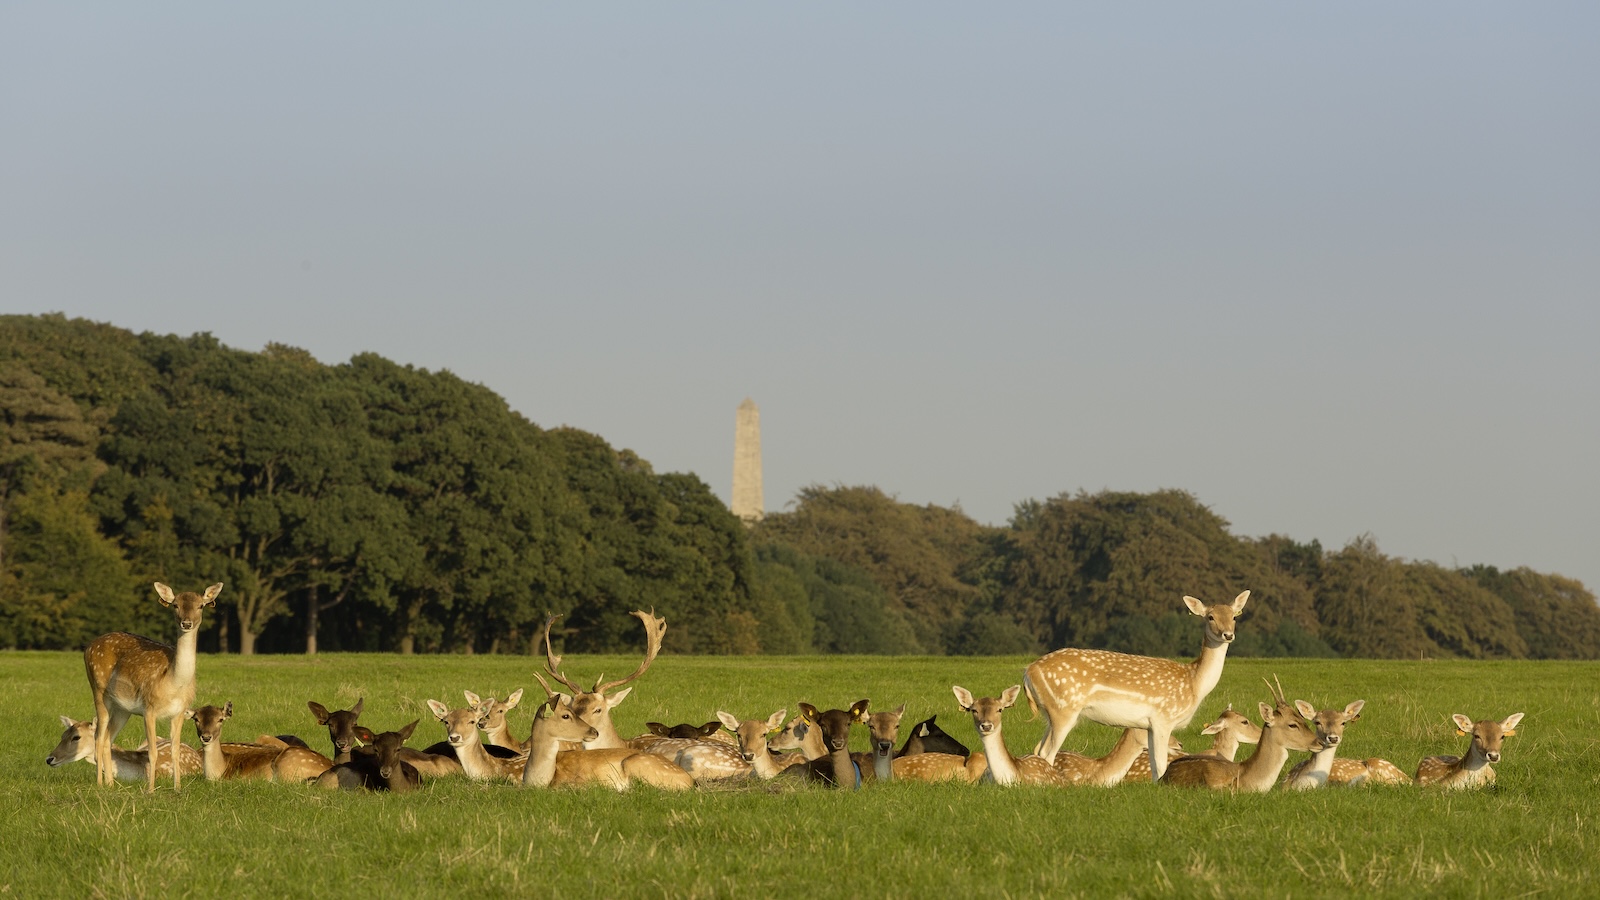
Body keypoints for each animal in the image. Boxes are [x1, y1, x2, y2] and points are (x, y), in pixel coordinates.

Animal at [84, 582, 222, 791]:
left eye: (201, 606)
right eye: (175, 605)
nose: (186, 623)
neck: (173, 683)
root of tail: (87, 647)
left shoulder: (180, 712)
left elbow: (175, 750)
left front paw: (177, 788)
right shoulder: (149, 708)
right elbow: (152, 753)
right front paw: (150, 790)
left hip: (123, 708)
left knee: (108, 738)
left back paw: (110, 784)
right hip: (98, 689)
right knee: (98, 737)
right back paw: (100, 784)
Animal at [1023, 590, 1249, 780]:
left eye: (1234, 616)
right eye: (1210, 617)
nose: (1228, 635)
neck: (1194, 683)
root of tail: (1028, 672)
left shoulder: (1148, 725)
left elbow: (1154, 765)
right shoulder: (1163, 718)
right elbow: (1160, 763)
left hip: (1050, 713)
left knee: (1038, 749)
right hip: (1064, 709)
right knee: (1047, 752)